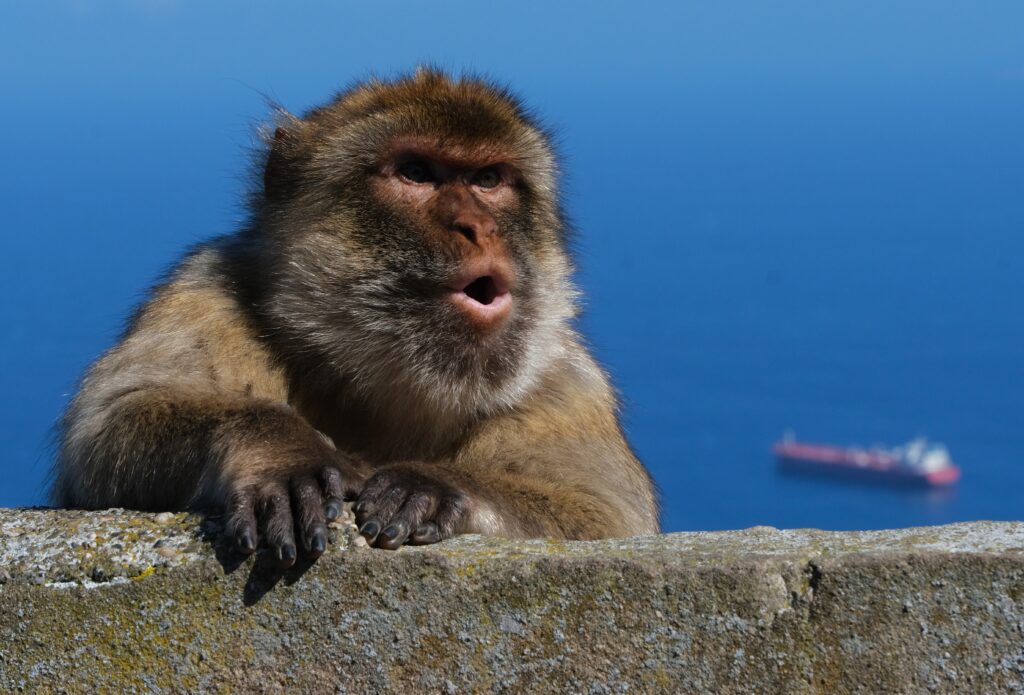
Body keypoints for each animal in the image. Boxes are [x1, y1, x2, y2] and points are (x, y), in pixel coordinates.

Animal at [52, 68, 660, 567]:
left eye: (489, 180)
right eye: (416, 171)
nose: (478, 227)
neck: (382, 381)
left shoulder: (562, 378)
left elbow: (605, 511)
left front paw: (431, 485)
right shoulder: (201, 295)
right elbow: (112, 421)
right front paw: (283, 453)